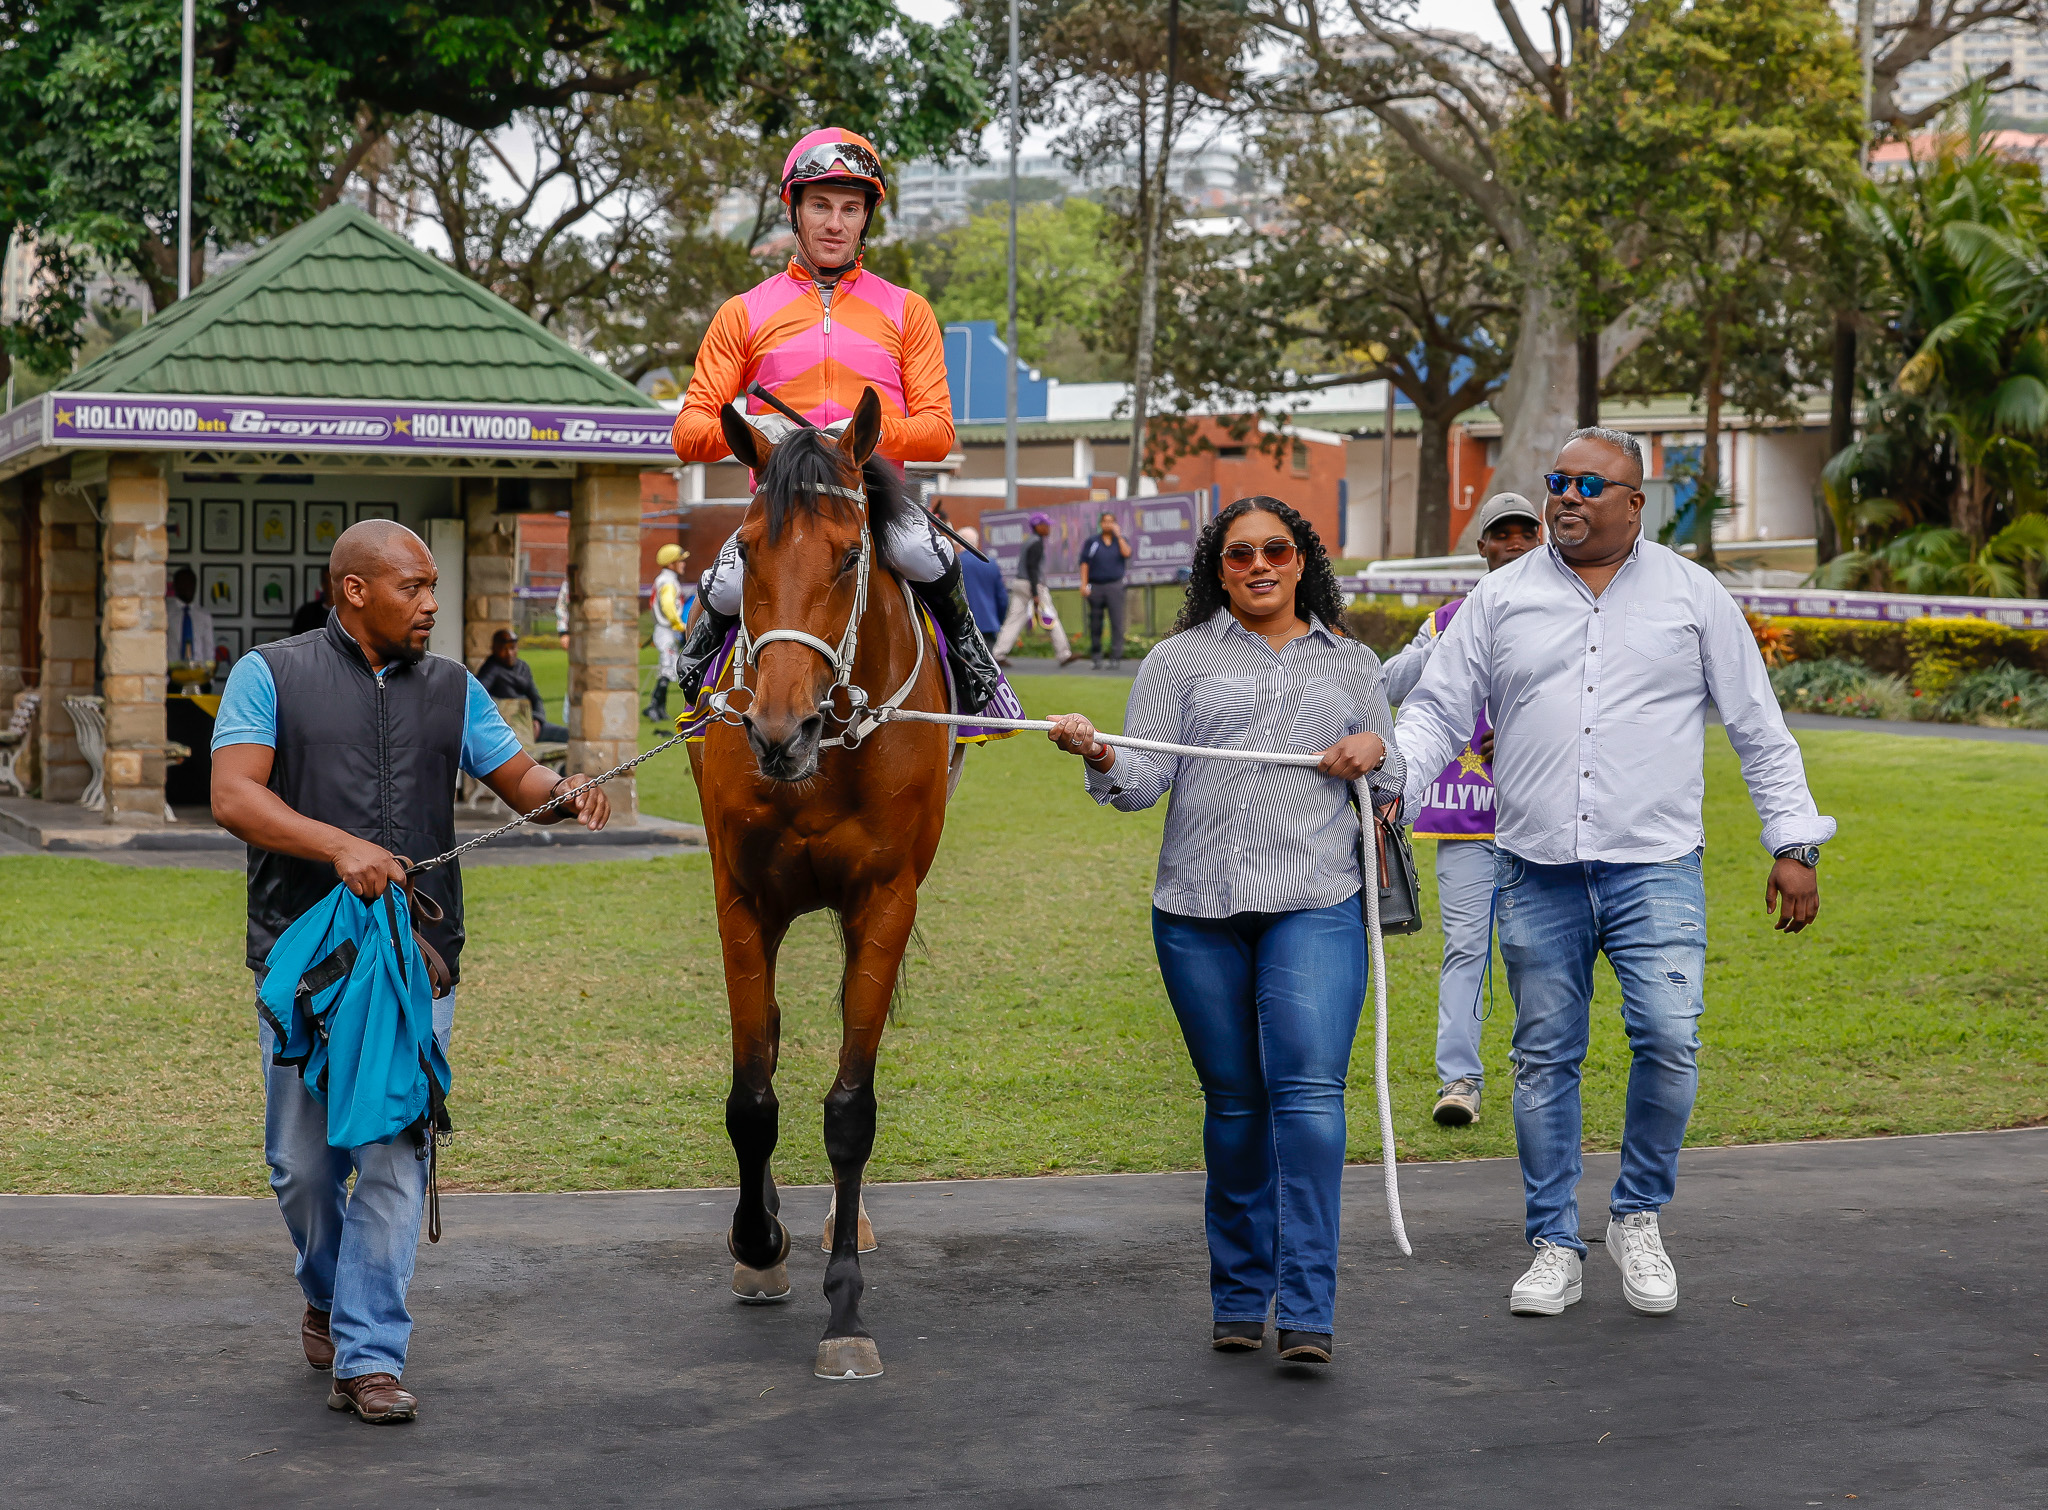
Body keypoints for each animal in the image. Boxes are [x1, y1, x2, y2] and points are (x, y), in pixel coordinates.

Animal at [679, 389, 950, 1376]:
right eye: (749, 549)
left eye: (847, 555)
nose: (776, 731)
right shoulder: (740, 898)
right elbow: (752, 1095)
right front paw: (759, 1247)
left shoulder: (886, 900)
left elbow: (849, 1108)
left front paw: (845, 1311)